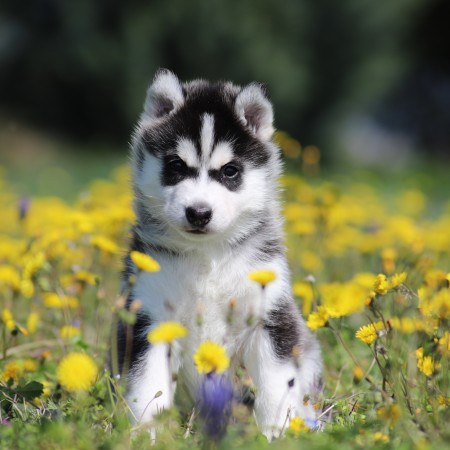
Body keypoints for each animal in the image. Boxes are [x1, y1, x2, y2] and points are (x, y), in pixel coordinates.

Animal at [116, 70, 320, 440]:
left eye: (230, 171)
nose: (198, 212)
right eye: (176, 165)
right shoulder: (149, 315)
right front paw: (147, 437)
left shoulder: (269, 317)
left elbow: (276, 385)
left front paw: (275, 435)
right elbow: (148, 386)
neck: (206, 257)